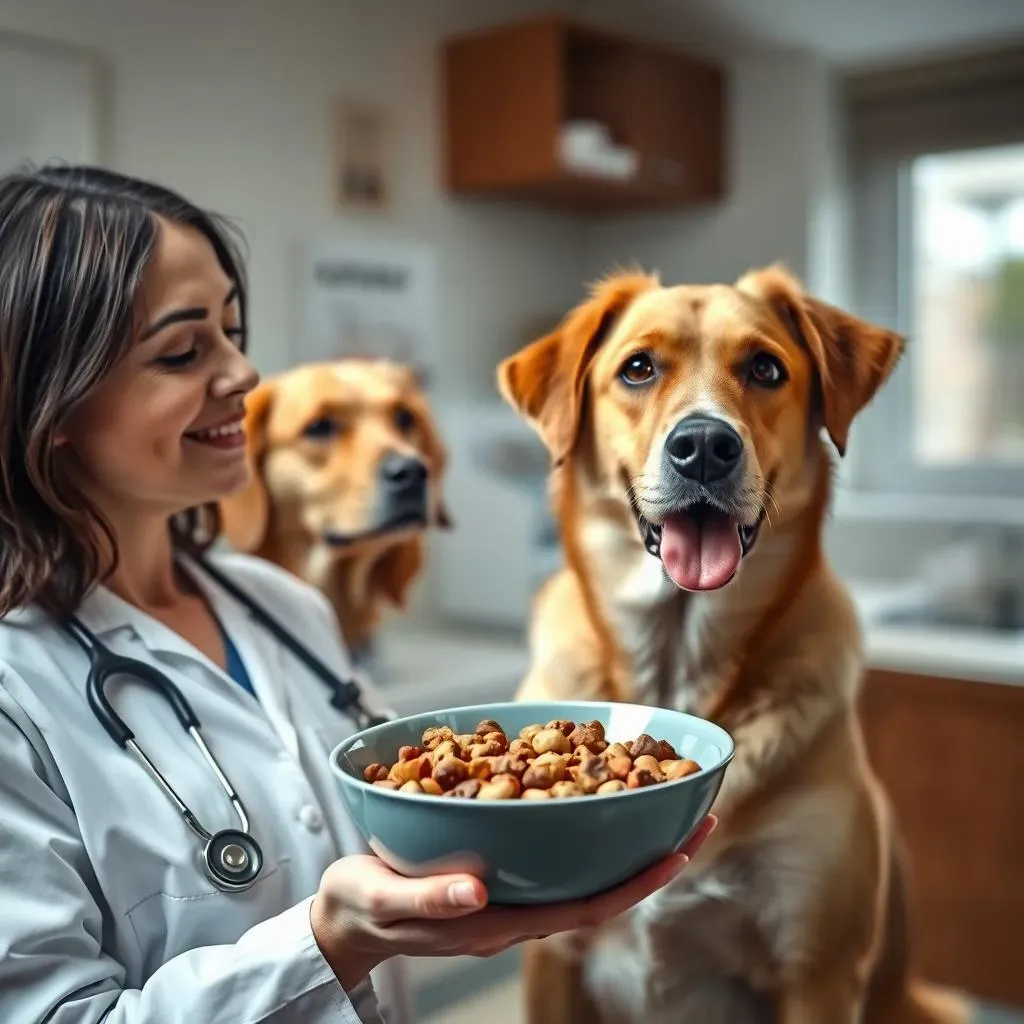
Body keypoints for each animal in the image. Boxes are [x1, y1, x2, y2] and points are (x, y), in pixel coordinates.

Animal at [499, 266, 962, 1024]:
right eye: (637, 368)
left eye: (766, 368)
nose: (704, 448)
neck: (678, 660)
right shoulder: (553, 964)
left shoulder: (819, 973)